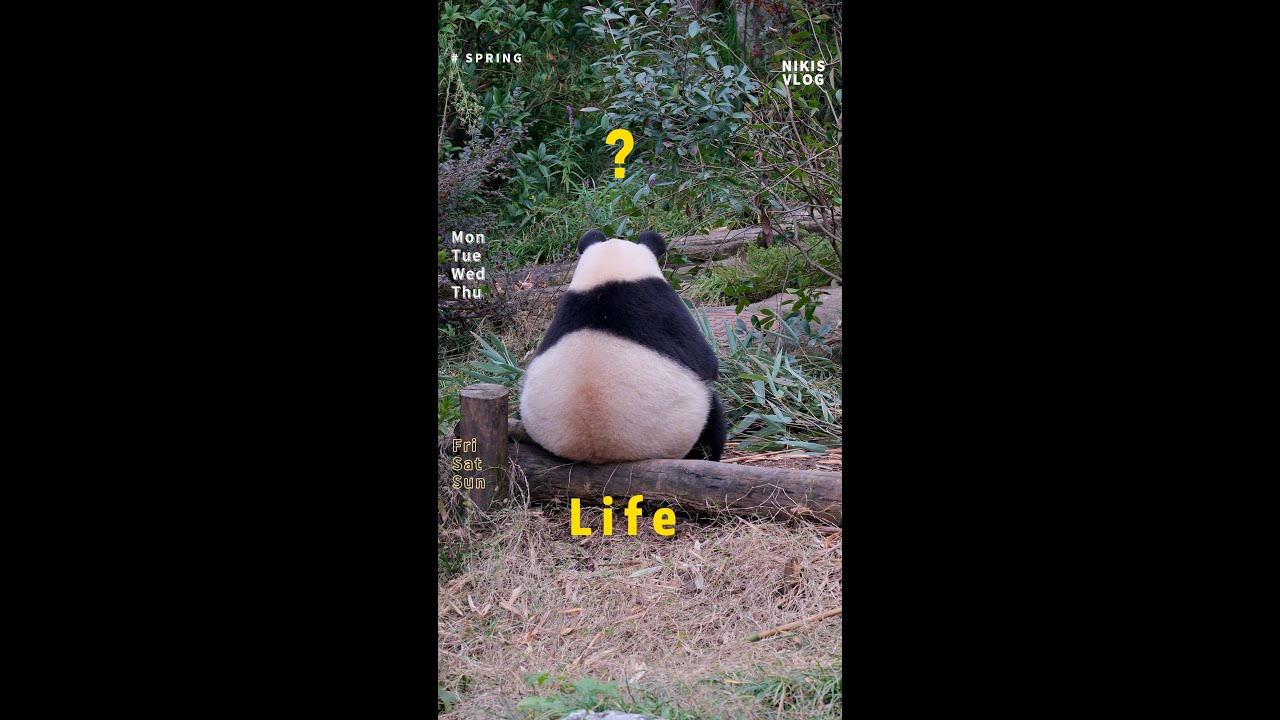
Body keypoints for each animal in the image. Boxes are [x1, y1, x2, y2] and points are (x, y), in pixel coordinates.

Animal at [518, 229, 727, 464]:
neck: (609, 277)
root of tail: (598, 453)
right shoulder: (658, 304)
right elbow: (704, 359)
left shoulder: (565, 310)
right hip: (677, 429)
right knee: (711, 418)